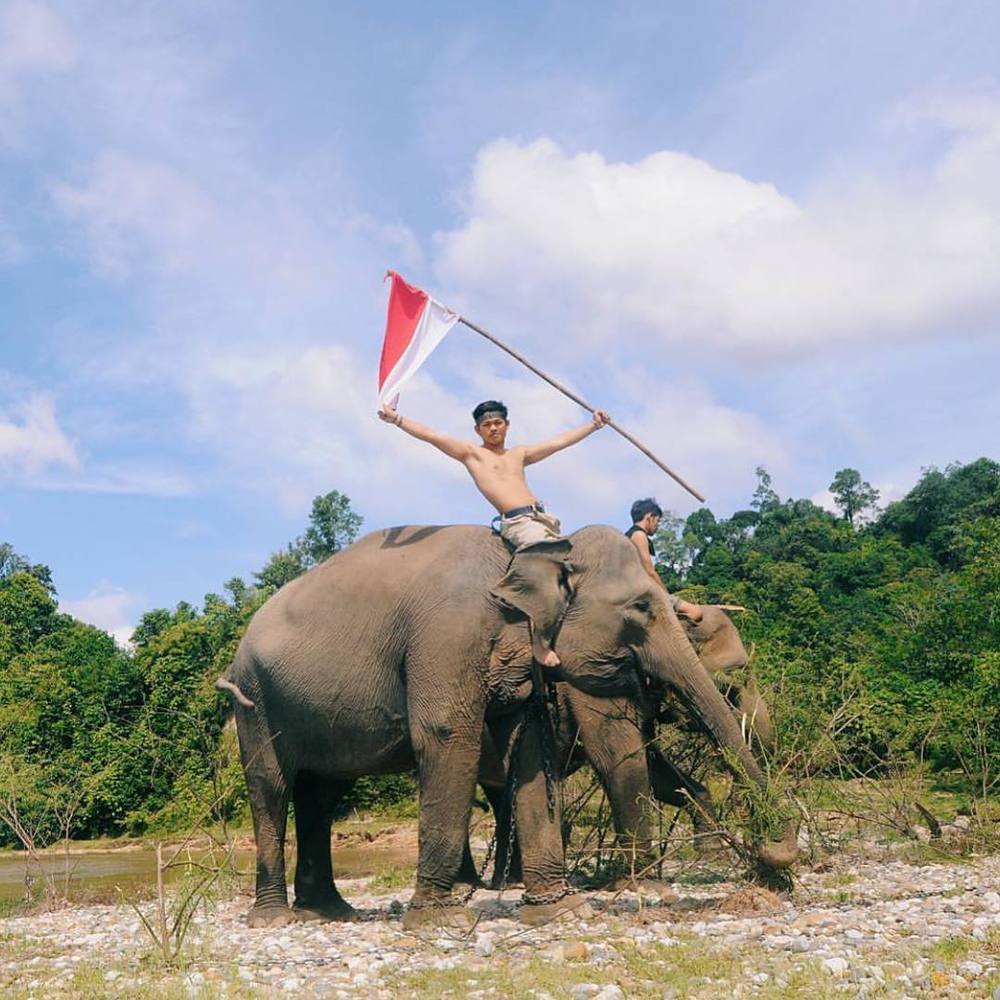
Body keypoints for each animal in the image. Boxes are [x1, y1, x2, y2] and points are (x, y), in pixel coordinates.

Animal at [219, 524, 796, 928]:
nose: (776, 867)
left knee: (322, 794)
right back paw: (276, 917)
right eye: (640, 608)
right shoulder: (449, 635)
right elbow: (454, 735)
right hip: (255, 701)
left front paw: (558, 910)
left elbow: (533, 752)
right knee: (272, 788)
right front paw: (438, 922)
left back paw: (330, 911)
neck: (525, 558)